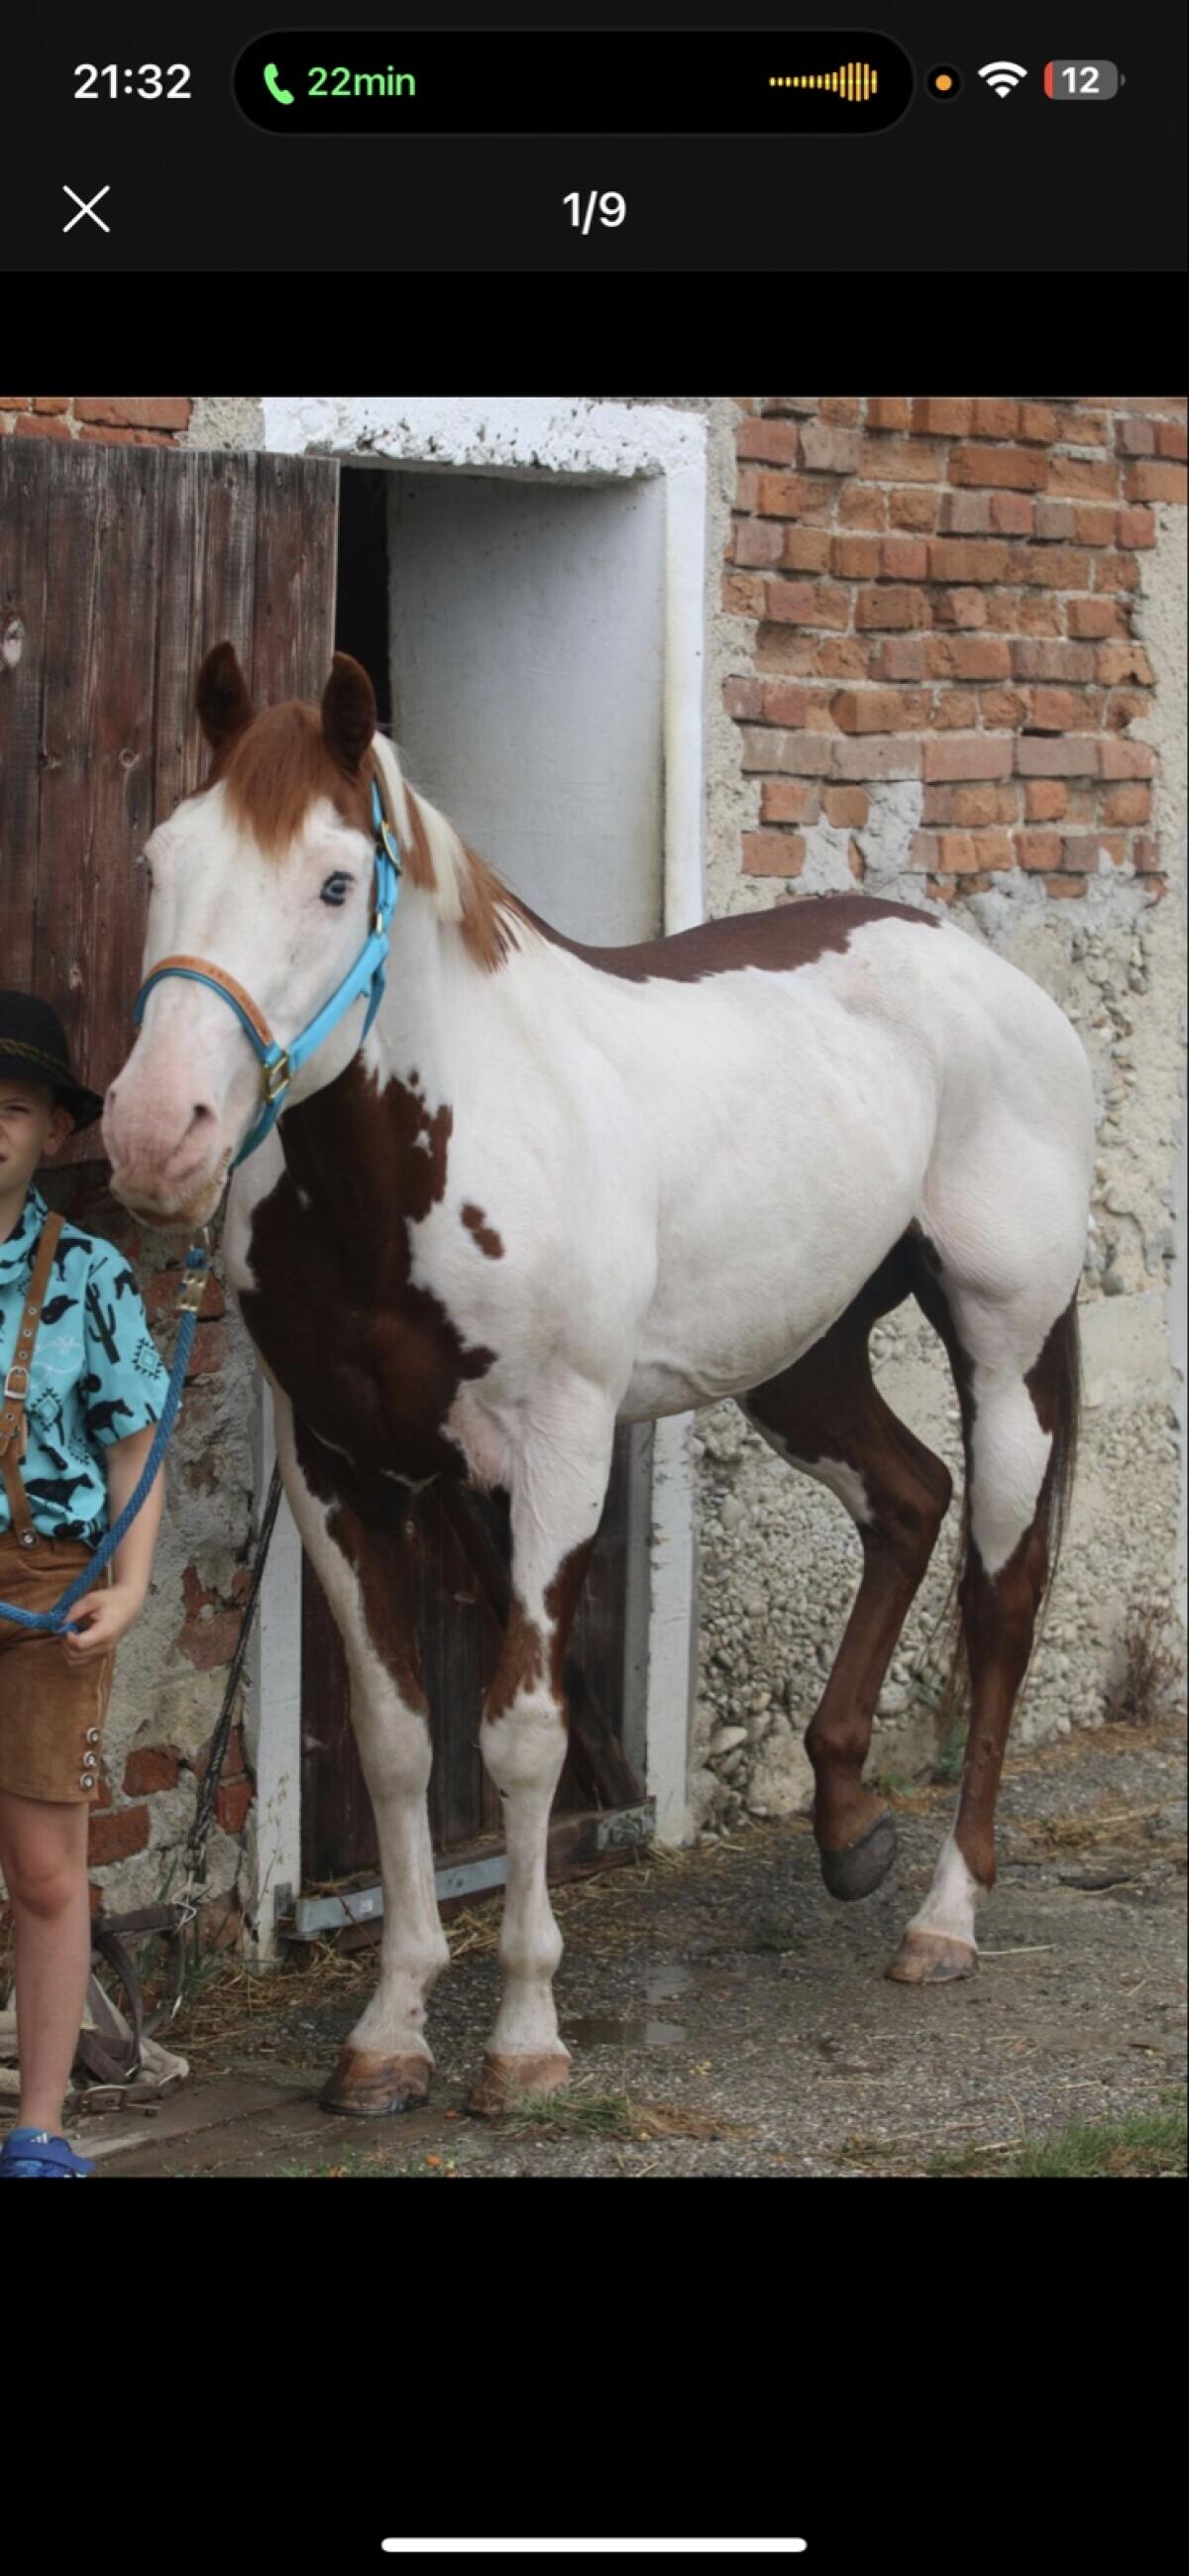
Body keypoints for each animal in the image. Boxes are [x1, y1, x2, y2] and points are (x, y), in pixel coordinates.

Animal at [102, 641, 1094, 2117]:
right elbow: (400, 1739)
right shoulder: (338, 1470)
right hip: (800, 1358)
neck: (428, 1154)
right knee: (906, 1500)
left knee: (1000, 1597)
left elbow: (523, 1734)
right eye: (161, 859)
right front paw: (390, 2030)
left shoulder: (558, 1451)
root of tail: (985, 974)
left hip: (1007, 1344)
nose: (158, 1134)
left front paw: (523, 2036)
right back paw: (849, 1825)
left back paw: (945, 1916)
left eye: (334, 882)